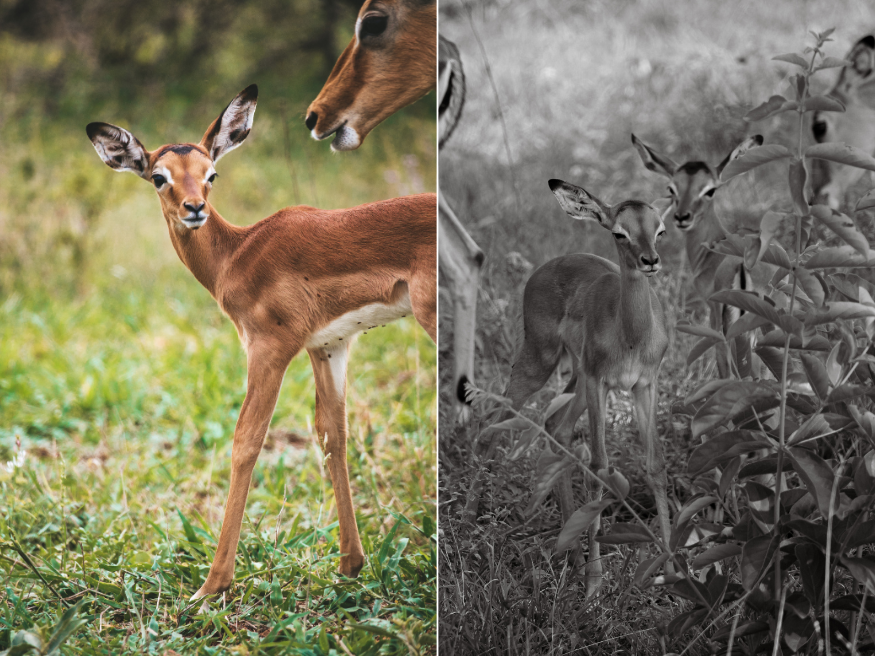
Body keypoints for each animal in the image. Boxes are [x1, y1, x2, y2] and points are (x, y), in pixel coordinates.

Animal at [86, 85, 437, 601]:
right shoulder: (328, 345)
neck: (239, 253)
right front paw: (349, 565)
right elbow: (333, 436)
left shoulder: (269, 348)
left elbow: (245, 443)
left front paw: (211, 586)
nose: (195, 208)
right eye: (158, 176)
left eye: (211, 173)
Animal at [501, 180, 671, 596]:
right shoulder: (600, 383)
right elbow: (598, 467)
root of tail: (545, 267)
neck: (631, 335)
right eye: (619, 232)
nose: (650, 260)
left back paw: (571, 551)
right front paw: (594, 588)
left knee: (557, 427)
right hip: (541, 362)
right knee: (498, 414)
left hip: (576, 380)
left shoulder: (644, 385)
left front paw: (674, 568)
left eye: (660, 229)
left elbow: (656, 466)